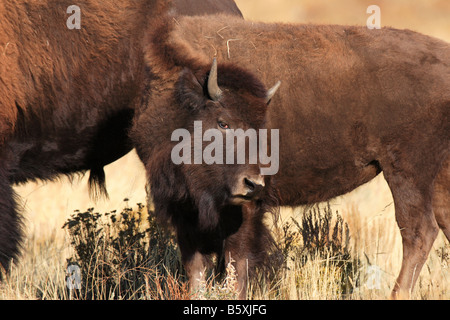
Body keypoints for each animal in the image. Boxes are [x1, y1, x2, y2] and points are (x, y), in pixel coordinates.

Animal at [134, 11, 450, 298]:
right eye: (223, 122)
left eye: (262, 126)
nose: (254, 182)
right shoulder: (183, 210)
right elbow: (197, 269)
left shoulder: (245, 209)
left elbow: (237, 263)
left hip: (407, 172)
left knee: (419, 231)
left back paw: (398, 294)